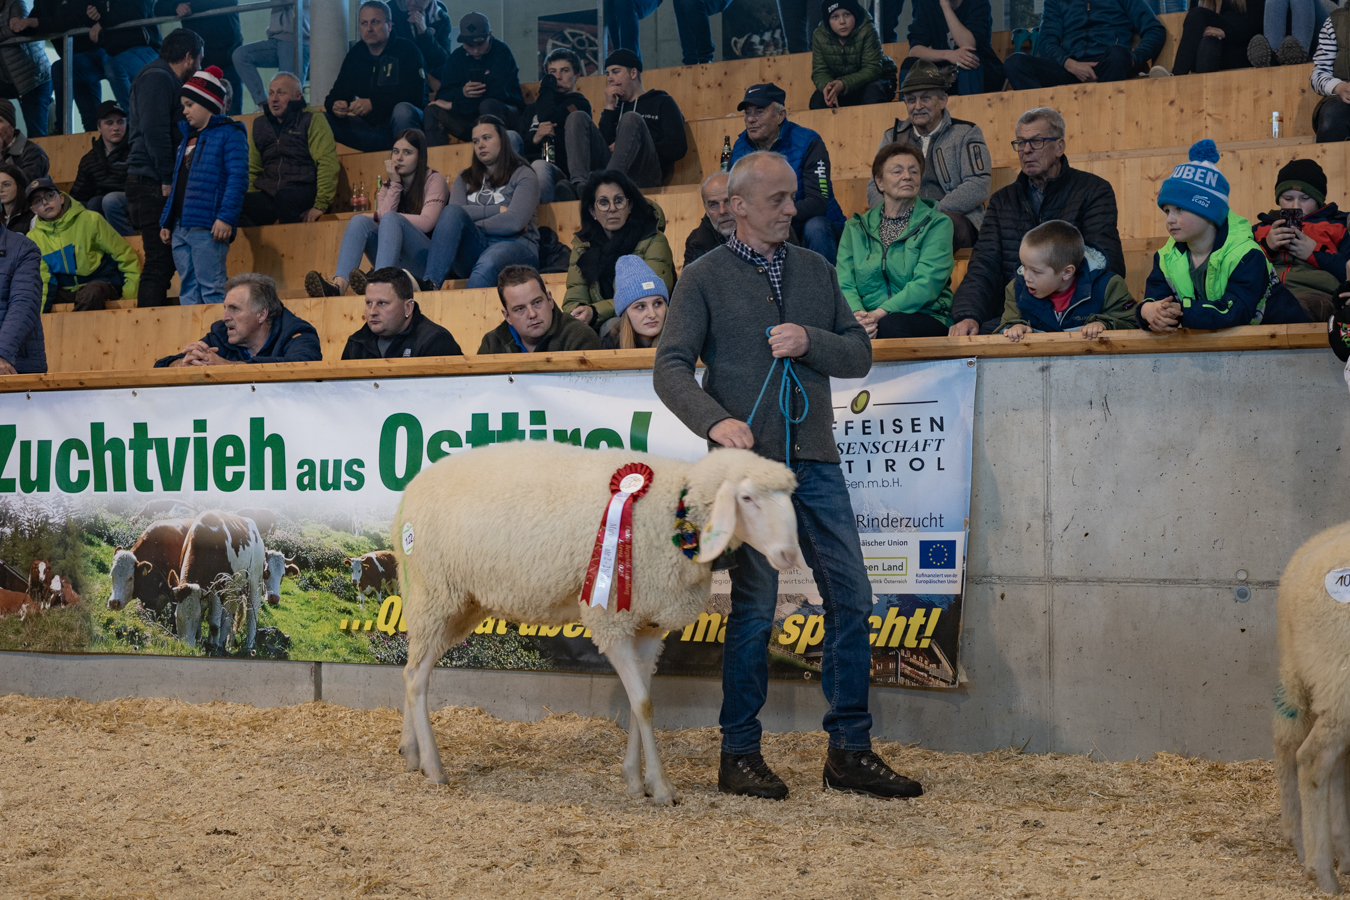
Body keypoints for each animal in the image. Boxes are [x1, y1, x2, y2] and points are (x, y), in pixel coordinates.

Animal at [168, 512, 266, 653]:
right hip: (232, 588)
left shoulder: (218, 587)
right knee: (228, 615)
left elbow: (214, 624)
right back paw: (223, 643)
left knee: (252, 613)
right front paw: (203, 642)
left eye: (195, 617)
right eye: (176, 616)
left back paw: (248, 648)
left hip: (255, 580)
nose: (186, 647)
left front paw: (212, 647)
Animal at [393, 441, 805, 805]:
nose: (788, 555)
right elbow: (643, 704)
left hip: (462, 603)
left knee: (411, 669)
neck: (674, 511)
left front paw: (635, 781)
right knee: (416, 677)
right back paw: (433, 766)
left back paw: (411, 753)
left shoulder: (648, 626)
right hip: (435, 594)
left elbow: (641, 700)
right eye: (747, 498)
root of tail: (408, 494)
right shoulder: (611, 619)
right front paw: (660, 788)